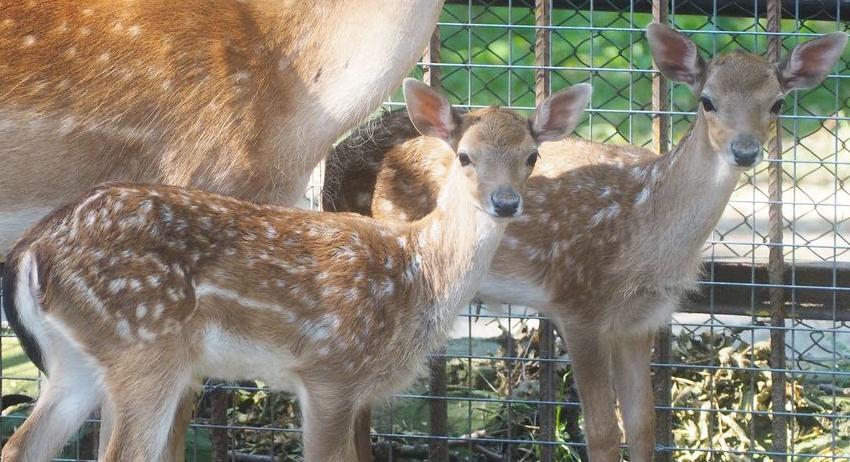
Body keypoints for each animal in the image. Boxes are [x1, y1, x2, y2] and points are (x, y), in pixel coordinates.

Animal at [1, 80, 588, 462]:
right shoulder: (330, 371)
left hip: (75, 363)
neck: (418, 270)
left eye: (532, 156)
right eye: (464, 157)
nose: (506, 203)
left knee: (20, 447)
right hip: (144, 348)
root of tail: (32, 250)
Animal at [322, 23, 844, 460]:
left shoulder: (642, 318)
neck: (644, 231)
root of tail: (338, 160)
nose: (745, 150)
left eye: (777, 103)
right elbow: (603, 432)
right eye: (708, 100)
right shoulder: (579, 303)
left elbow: (642, 427)